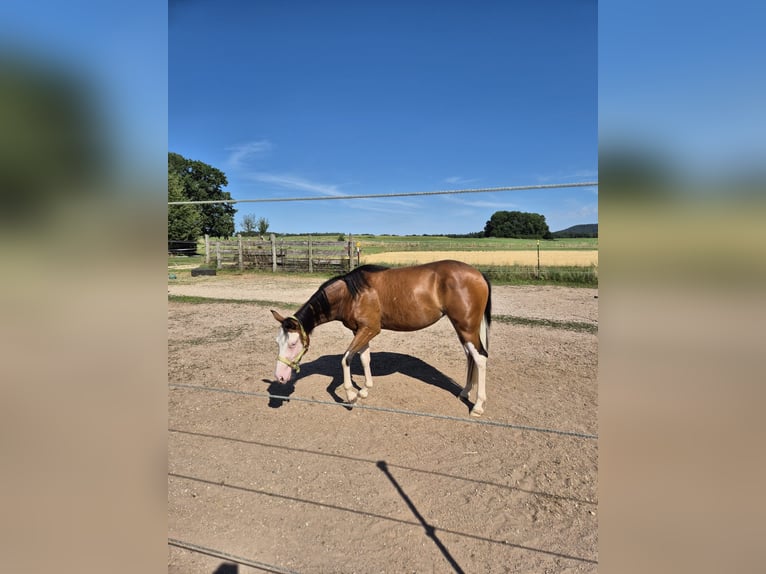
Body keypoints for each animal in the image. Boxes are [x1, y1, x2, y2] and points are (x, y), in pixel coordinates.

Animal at [272, 260, 496, 418]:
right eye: (277, 342)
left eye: (293, 344)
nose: (280, 377)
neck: (350, 294)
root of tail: (478, 274)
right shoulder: (361, 331)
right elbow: (364, 358)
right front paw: (364, 390)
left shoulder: (370, 329)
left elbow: (345, 358)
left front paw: (351, 395)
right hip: (463, 329)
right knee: (470, 356)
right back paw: (465, 392)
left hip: (466, 327)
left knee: (480, 357)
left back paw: (478, 406)